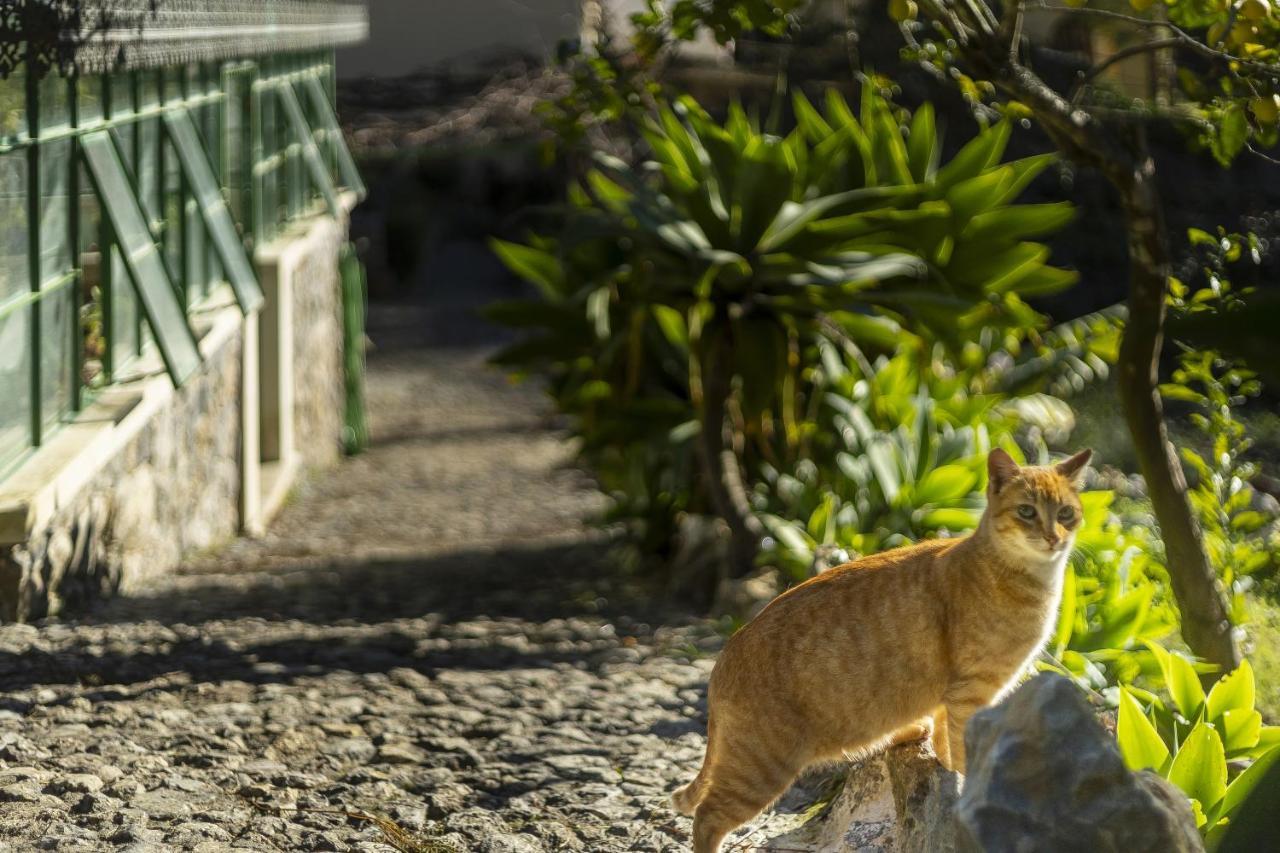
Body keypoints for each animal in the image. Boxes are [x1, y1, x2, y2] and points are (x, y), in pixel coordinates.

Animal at [670, 445, 1090, 850]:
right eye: (1026, 512)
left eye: (1066, 513)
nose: (1054, 537)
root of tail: (725, 655)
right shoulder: (971, 693)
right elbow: (963, 754)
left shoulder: (951, 698)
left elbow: (946, 744)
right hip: (761, 767)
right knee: (707, 818)